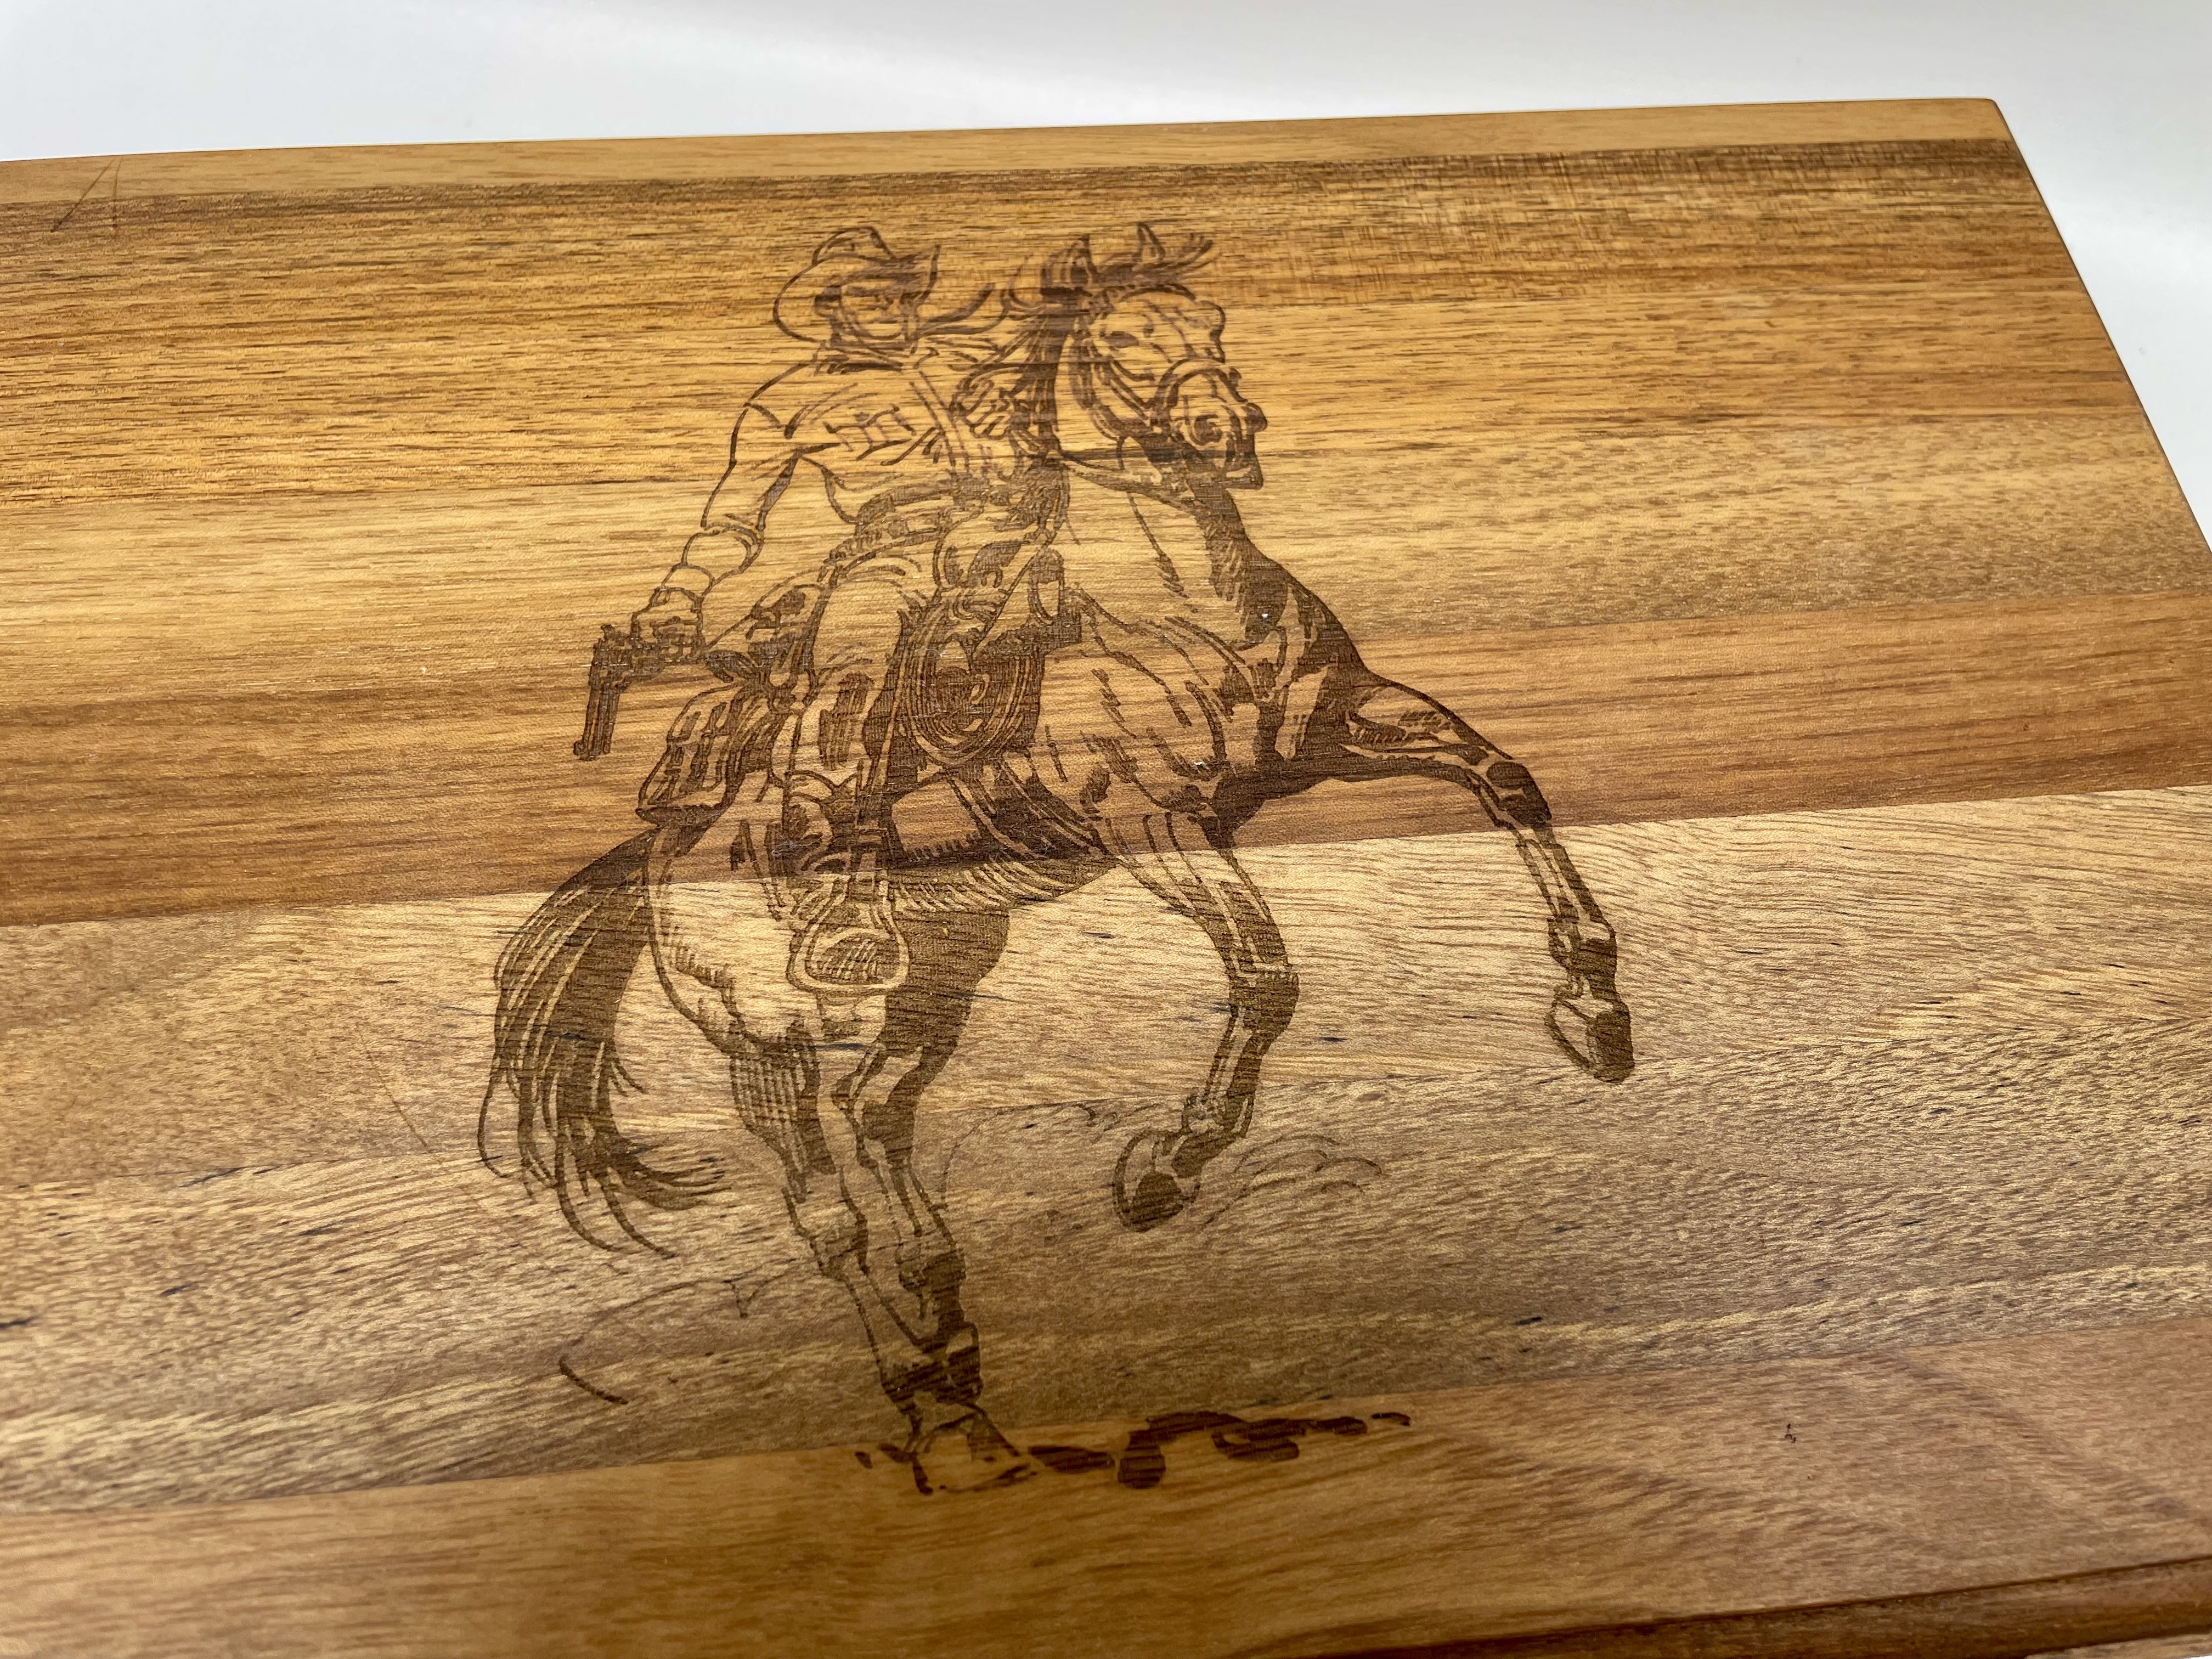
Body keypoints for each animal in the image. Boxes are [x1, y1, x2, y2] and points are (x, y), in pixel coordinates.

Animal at [484, 225, 1636, 1493]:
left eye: (1209, 322)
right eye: (1124, 342)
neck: (1176, 602)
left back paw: (951, 1336)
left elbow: (1504, 780)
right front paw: (1163, 1169)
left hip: (946, 966)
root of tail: (659, 851)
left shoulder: (1333, 727)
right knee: (824, 1214)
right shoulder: (1153, 823)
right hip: (760, 1034)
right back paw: (922, 1388)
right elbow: (1267, 976)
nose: (1223, 429)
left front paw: (1596, 1011)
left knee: (879, 1108)